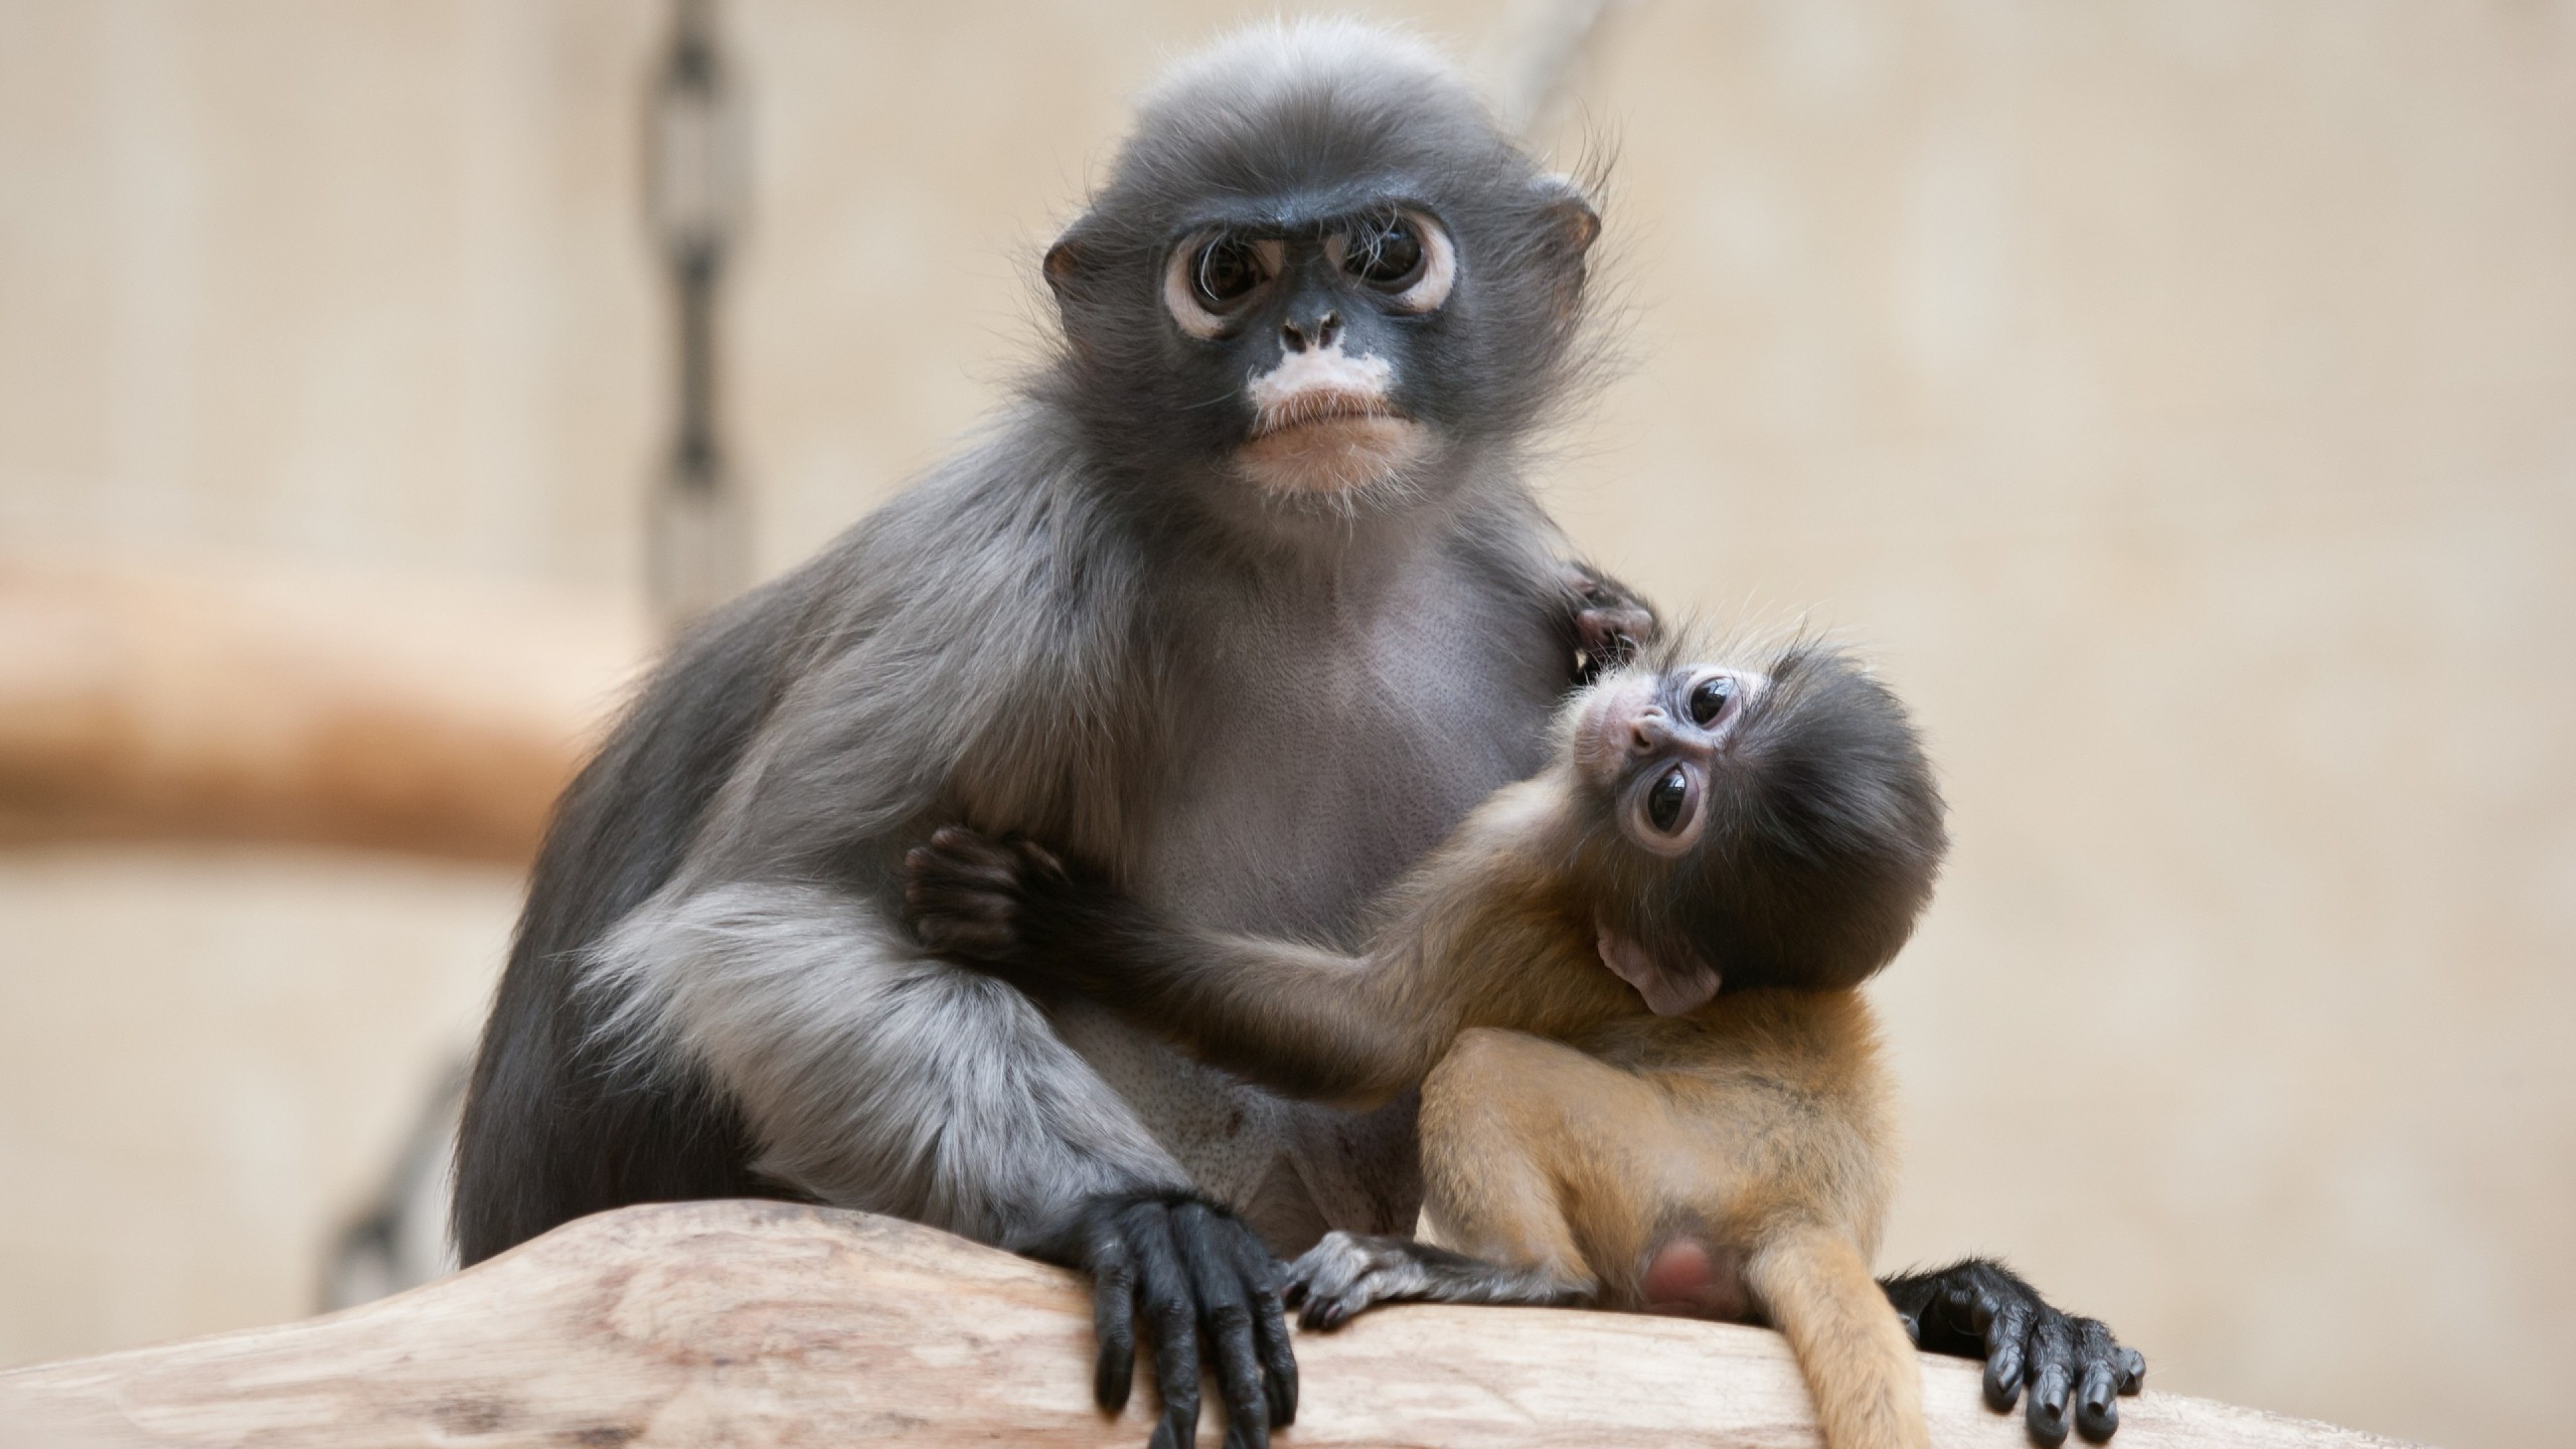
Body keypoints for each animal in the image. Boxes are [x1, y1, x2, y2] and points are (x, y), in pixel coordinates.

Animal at [906, 639, 2146, 1448]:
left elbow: (1371, 1036)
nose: (1639, 722)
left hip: (1660, 1162)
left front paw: (1050, 920)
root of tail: (1793, 1205)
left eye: (1669, 799)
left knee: (1483, 1072)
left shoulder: (1524, 860)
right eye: (1706, 700)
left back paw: (1513, 1273)